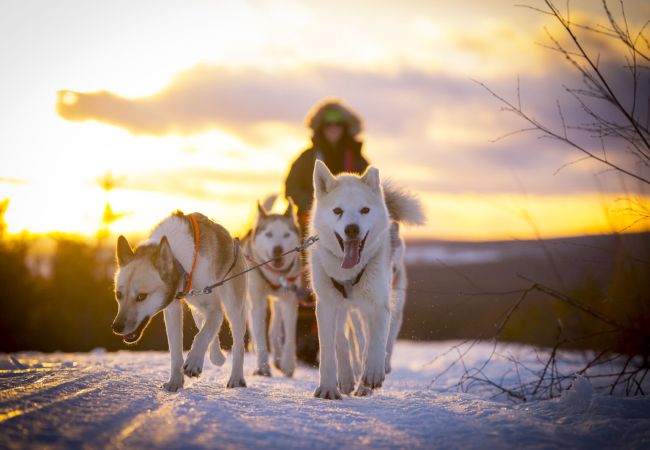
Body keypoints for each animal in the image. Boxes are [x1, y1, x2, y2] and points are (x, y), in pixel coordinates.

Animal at [110, 211, 247, 390]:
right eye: (119, 294)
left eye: (141, 296)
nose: (117, 327)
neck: (178, 261)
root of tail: (233, 240)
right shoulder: (172, 309)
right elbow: (176, 350)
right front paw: (175, 382)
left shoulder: (214, 308)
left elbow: (202, 335)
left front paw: (193, 362)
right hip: (197, 308)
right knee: (206, 328)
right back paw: (217, 356)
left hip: (233, 308)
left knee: (237, 344)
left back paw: (236, 378)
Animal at [243, 197, 304, 376]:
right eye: (269, 234)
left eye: (286, 234)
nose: (278, 250)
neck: (275, 276)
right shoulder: (257, 302)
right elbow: (259, 334)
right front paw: (263, 367)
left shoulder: (290, 301)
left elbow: (289, 335)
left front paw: (288, 364)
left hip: (278, 301)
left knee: (274, 329)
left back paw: (277, 357)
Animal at [310, 160, 426, 400]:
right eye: (337, 211)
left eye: (365, 210)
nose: (352, 229)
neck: (349, 273)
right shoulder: (327, 305)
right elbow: (333, 347)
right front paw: (329, 387)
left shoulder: (378, 304)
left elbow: (375, 341)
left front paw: (372, 373)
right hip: (350, 311)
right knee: (350, 341)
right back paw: (350, 378)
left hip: (391, 299)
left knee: (385, 337)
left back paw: (374, 374)